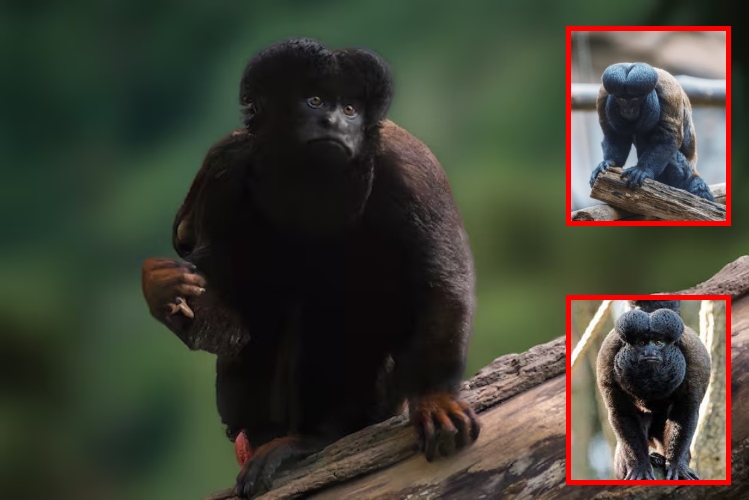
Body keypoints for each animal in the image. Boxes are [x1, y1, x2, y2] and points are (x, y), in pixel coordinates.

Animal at [141, 38, 480, 498]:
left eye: (350, 109)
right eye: (315, 100)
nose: (334, 121)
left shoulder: (410, 168)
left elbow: (441, 279)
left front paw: (433, 396)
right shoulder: (223, 168)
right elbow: (230, 317)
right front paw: (163, 293)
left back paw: (317, 436)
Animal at [588, 62, 716, 202]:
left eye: (635, 99)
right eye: (621, 99)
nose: (628, 110)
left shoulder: (669, 94)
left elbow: (668, 138)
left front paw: (642, 169)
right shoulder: (603, 94)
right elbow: (614, 136)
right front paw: (609, 162)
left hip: (684, 171)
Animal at [596, 301, 710, 480]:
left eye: (658, 342)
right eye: (641, 343)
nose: (650, 352)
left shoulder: (694, 362)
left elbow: (685, 411)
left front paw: (676, 464)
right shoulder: (607, 362)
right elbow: (622, 413)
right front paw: (640, 466)